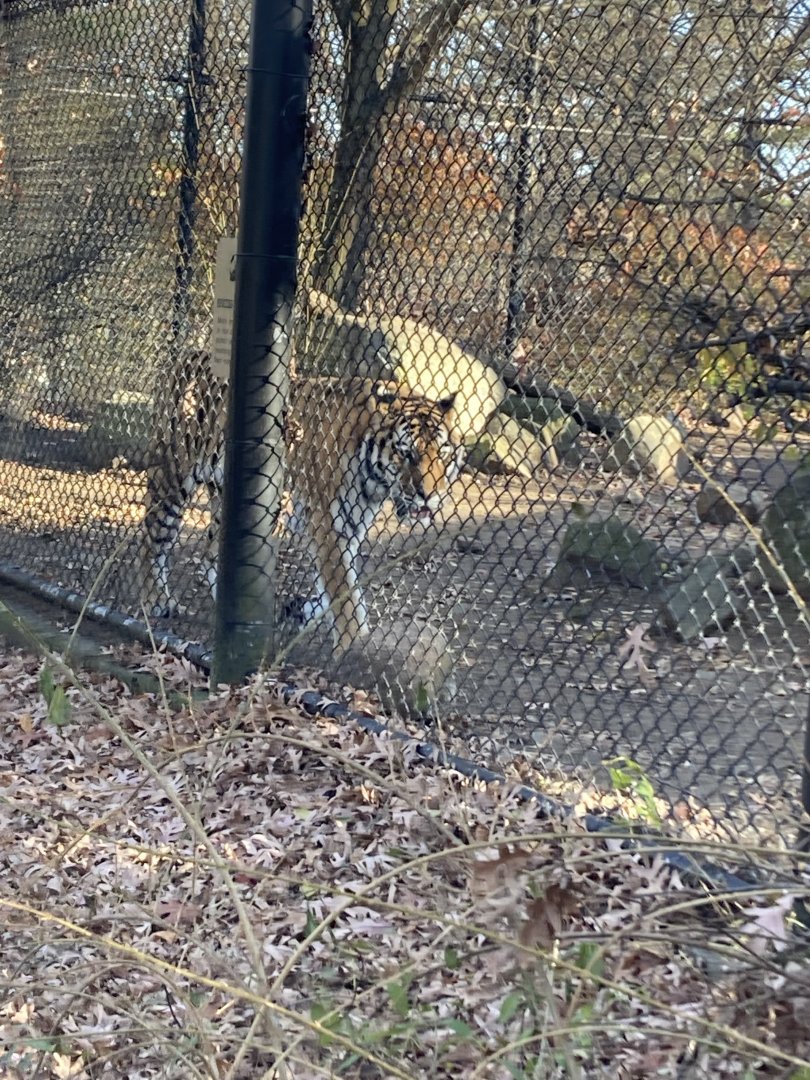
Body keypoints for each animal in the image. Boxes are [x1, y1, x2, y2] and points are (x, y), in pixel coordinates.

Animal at [140, 351, 465, 654]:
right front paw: (352, 644)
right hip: (172, 475)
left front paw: (306, 612)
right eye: (407, 453)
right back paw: (155, 600)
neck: (375, 481)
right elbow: (343, 590)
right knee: (152, 536)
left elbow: (341, 586)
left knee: (210, 550)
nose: (428, 495)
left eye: (442, 453)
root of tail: (187, 355)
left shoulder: (350, 525)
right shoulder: (327, 522)